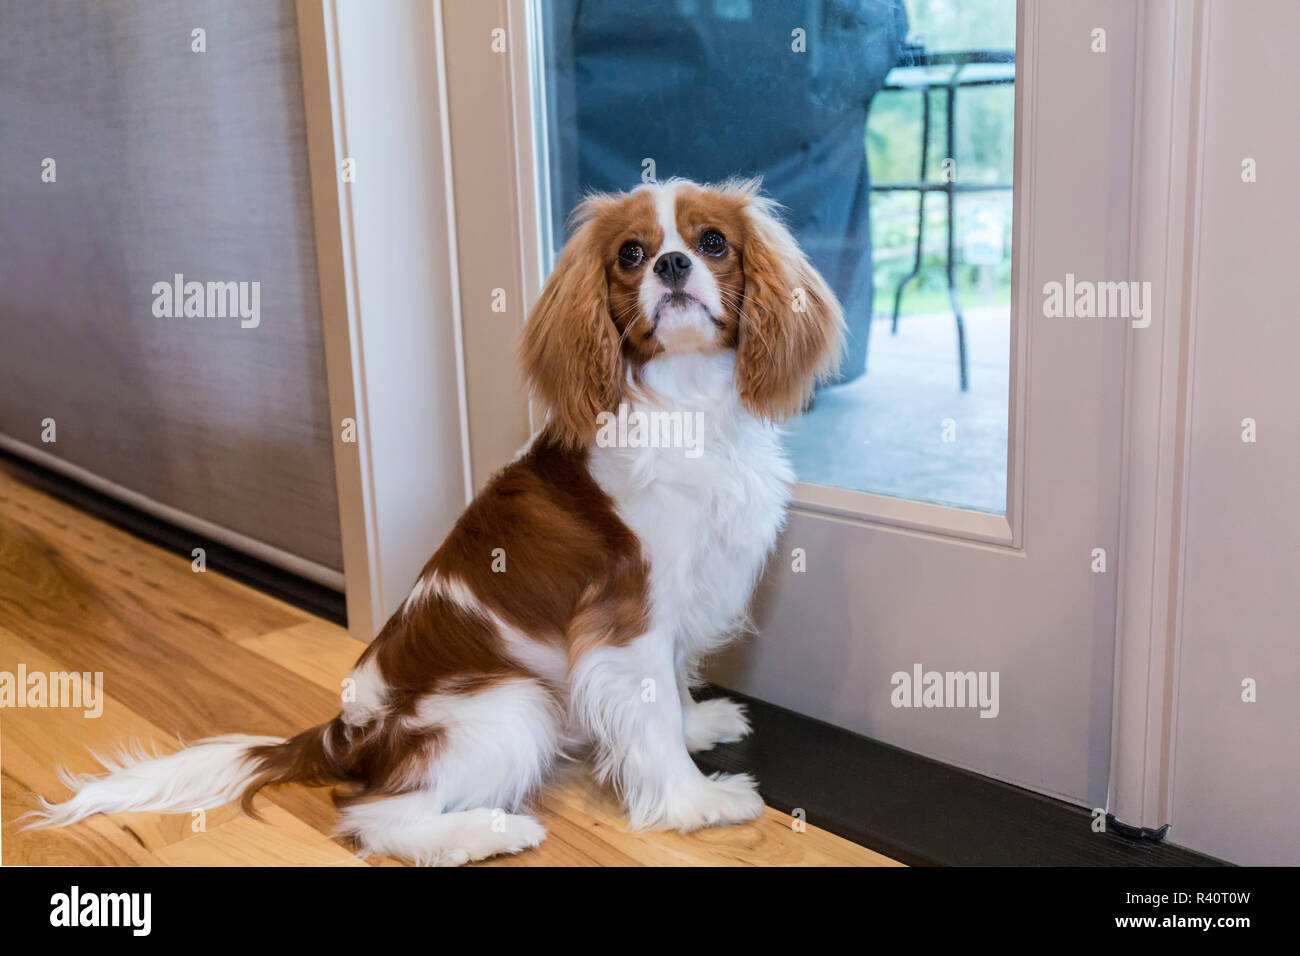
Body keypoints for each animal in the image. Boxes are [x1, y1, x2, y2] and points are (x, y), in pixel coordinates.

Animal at [30, 178, 847, 868]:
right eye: (631, 255)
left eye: (712, 242)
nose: (674, 264)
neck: (687, 405)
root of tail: (346, 735)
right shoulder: (627, 619)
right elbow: (649, 723)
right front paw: (696, 802)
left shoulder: (679, 604)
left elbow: (671, 687)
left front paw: (697, 723)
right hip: (515, 703)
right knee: (374, 817)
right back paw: (488, 831)